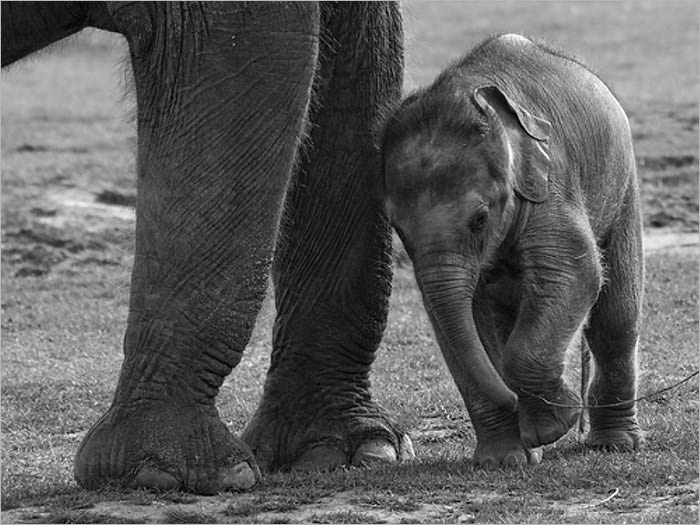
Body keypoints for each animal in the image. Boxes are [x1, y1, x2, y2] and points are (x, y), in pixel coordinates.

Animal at [380, 33, 644, 467]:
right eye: (397, 229)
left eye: (480, 219)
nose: (514, 402)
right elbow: (459, 317)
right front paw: (503, 459)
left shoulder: (549, 184)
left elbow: (574, 271)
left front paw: (550, 426)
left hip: (623, 188)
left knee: (615, 318)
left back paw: (615, 444)